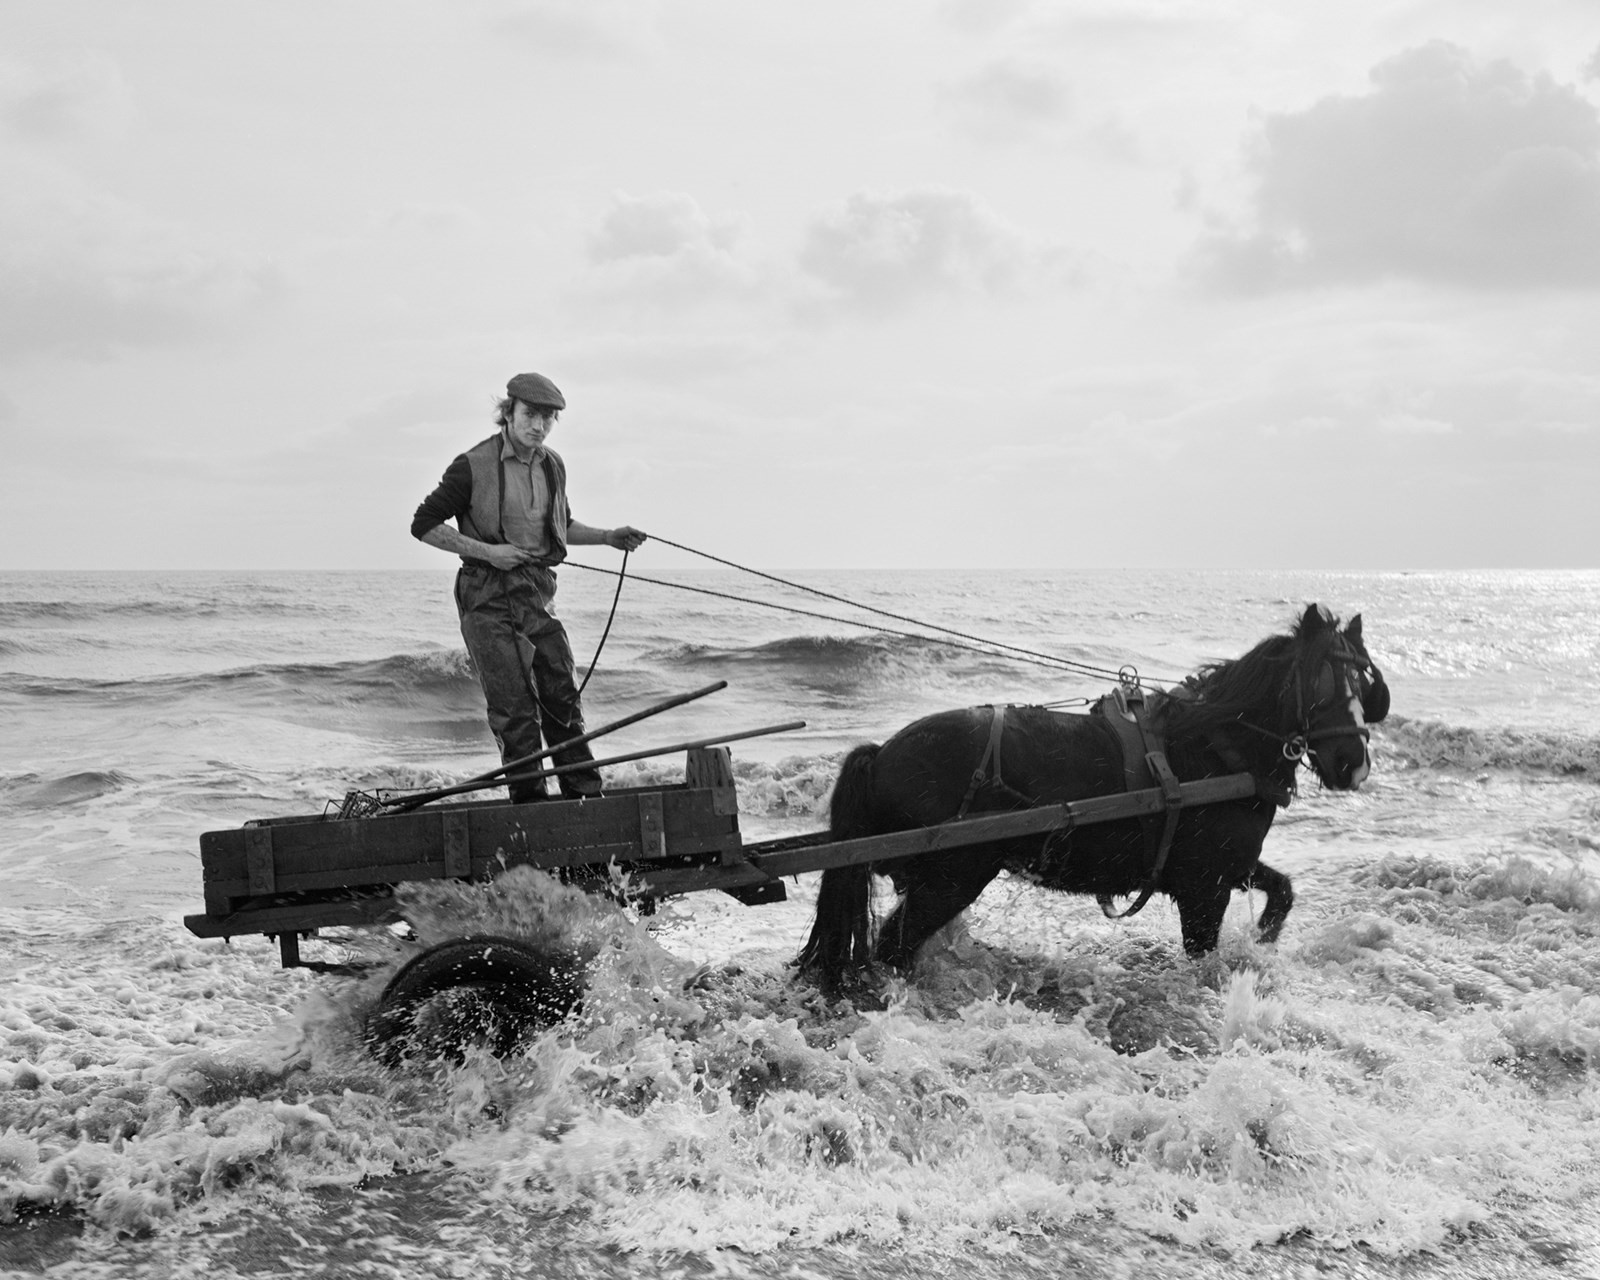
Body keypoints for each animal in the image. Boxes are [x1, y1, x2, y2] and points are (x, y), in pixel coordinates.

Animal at [800, 601, 1388, 979]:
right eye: (1319, 682)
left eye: (1366, 683)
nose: (1352, 764)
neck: (1213, 748)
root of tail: (882, 754)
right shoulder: (1205, 888)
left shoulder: (1230, 866)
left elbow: (1283, 892)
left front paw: (1264, 940)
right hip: (951, 877)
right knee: (891, 949)